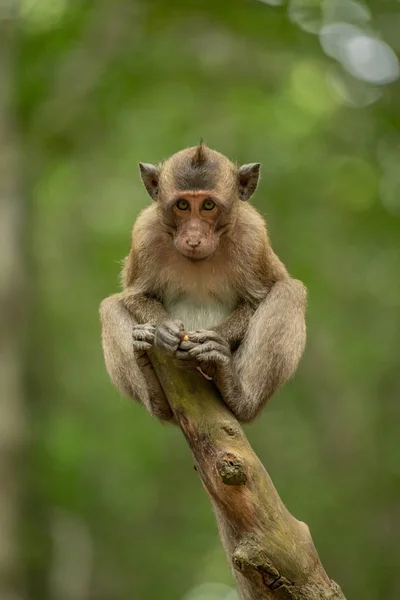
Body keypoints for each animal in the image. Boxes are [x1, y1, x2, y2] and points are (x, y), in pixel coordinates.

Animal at [100, 141, 306, 424]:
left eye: (208, 205)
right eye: (183, 205)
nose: (194, 238)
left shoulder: (252, 236)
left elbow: (260, 297)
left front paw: (211, 341)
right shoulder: (144, 233)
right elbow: (134, 296)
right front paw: (164, 330)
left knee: (289, 292)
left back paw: (236, 392)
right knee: (110, 306)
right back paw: (155, 394)